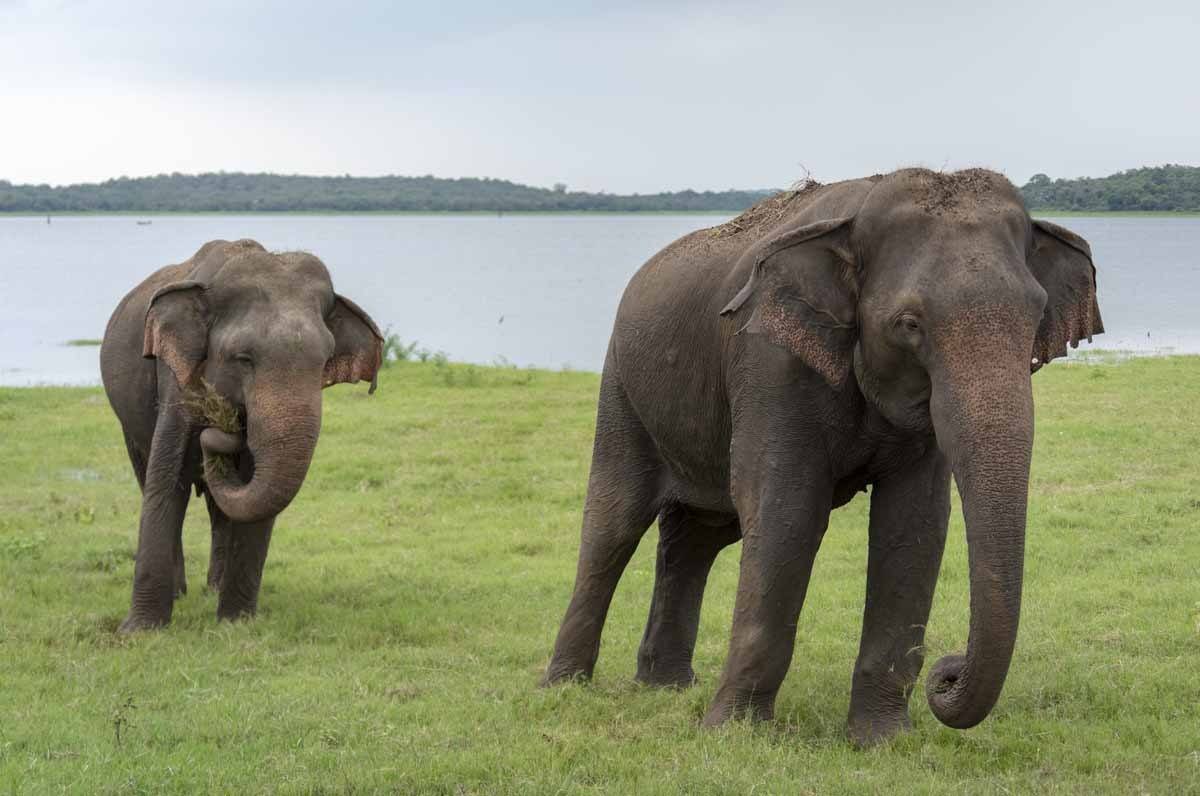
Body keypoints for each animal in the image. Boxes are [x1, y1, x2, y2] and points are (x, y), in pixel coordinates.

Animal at [103, 240, 386, 633]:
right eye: (243, 358)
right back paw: (182, 592)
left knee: (220, 506)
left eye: (325, 360)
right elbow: (167, 479)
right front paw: (138, 632)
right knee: (147, 476)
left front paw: (235, 624)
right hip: (128, 421)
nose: (222, 427)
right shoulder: (176, 375)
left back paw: (213, 590)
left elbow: (254, 485)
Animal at [544, 168, 1104, 749]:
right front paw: (734, 735)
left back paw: (666, 687)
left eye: (1036, 315)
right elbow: (787, 513)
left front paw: (882, 741)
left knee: (698, 536)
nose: (946, 674)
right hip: (620, 388)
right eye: (909, 324)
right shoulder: (771, 363)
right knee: (614, 524)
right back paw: (564, 686)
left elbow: (914, 525)